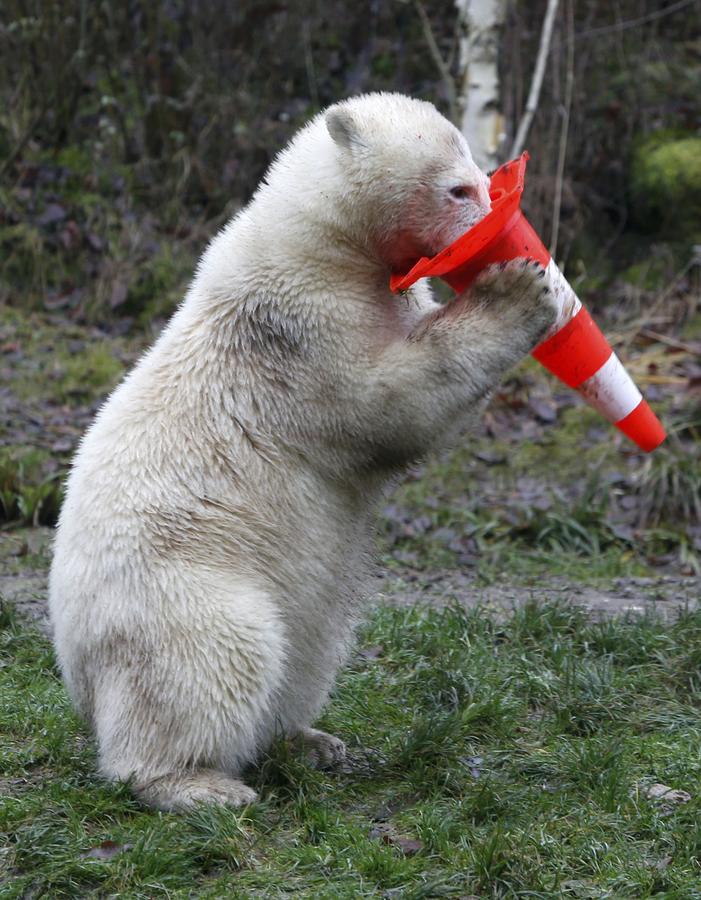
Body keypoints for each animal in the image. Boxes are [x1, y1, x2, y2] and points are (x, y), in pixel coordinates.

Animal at [48, 93, 557, 811]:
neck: (320, 238)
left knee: (311, 651)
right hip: (172, 590)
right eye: (459, 188)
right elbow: (389, 400)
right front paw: (520, 291)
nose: (497, 220)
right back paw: (197, 784)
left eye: (482, 180)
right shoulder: (302, 324)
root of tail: (78, 675)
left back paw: (307, 742)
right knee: (213, 660)